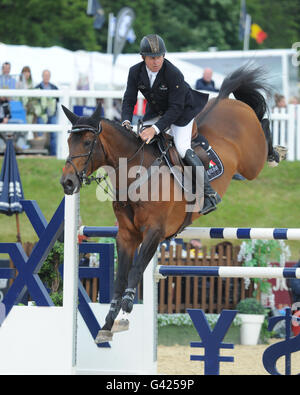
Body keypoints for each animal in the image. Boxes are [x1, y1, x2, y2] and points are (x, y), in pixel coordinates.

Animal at [60, 65, 284, 344]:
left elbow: (135, 271)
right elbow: (120, 277)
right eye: (69, 142)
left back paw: (277, 152)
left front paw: (125, 311)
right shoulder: (126, 235)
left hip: (252, 162)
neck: (136, 175)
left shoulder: (154, 232)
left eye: (88, 143)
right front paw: (108, 323)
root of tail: (227, 101)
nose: (67, 183)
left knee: (263, 124)